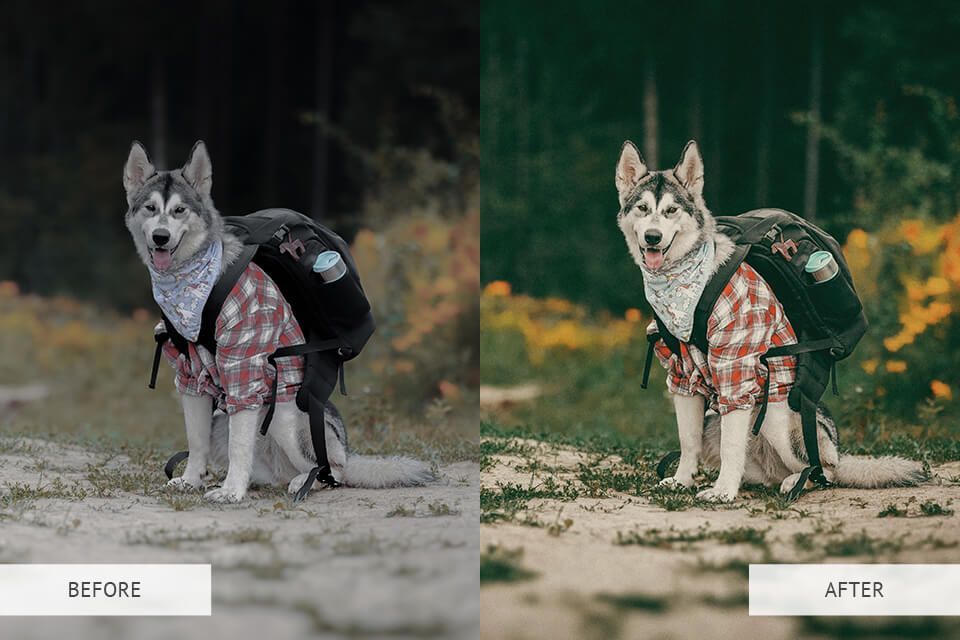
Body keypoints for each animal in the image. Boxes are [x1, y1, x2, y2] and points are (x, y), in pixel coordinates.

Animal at [123, 141, 432, 504]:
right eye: (150, 208)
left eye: (179, 211)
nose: (160, 237)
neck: (194, 286)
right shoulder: (189, 375)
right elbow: (196, 442)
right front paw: (192, 480)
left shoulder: (243, 366)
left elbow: (239, 446)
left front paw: (231, 492)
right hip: (223, 421)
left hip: (286, 418)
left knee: (330, 470)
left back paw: (302, 482)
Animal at [616, 139, 924, 500]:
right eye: (642, 209)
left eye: (670, 211)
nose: (652, 237)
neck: (687, 286)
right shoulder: (682, 376)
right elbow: (688, 441)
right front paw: (683, 480)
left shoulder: (735, 368)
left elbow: (731, 446)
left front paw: (723, 492)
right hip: (716, 420)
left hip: (779, 417)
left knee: (823, 469)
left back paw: (796, 481)